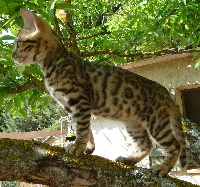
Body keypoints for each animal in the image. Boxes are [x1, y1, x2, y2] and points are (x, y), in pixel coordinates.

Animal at [12, 8, 188, 176]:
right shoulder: (71, 106)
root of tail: (165, 92)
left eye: (18, 43)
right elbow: (84, 128)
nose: (12, 56)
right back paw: (129, 160)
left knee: (175, 145)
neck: (55, 61)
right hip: (133, 123)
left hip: (156, 122)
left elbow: (82, 127)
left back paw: (163, 168)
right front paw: (87, 148)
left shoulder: (80, 100)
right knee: (147, 144)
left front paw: (78, 147)